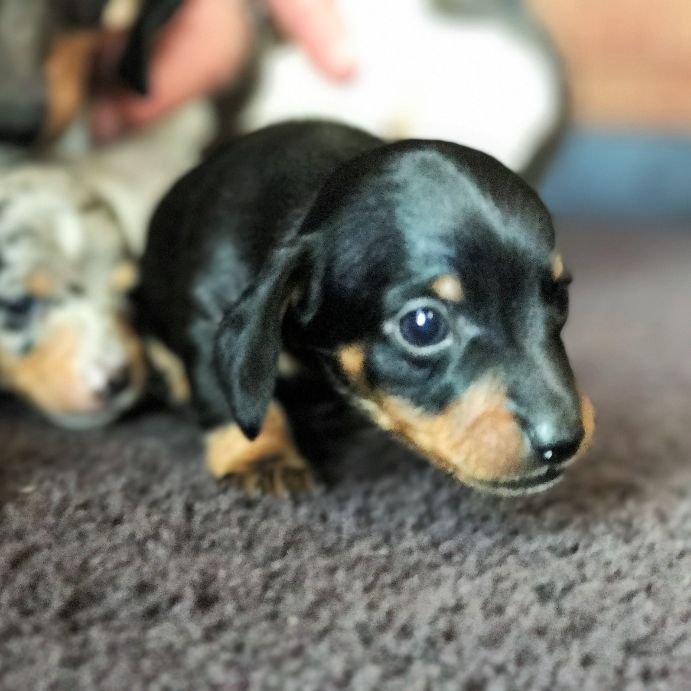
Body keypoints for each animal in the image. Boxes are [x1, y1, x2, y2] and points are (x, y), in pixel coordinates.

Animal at [137, 120, 596, 498]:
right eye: (423, 325)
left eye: (560, 297)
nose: (565, 443)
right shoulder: (205, 314)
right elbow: (224, 390)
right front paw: (263, 456)